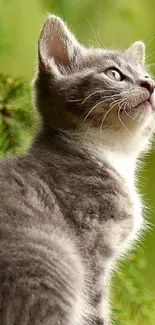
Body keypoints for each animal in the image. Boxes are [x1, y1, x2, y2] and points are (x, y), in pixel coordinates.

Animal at [0, 14, 155, 324]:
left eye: (147, 75)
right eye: (114, 74)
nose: (150, 84)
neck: (112, 155)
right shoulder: (91, 249)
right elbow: (96, 309)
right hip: (55, 259)